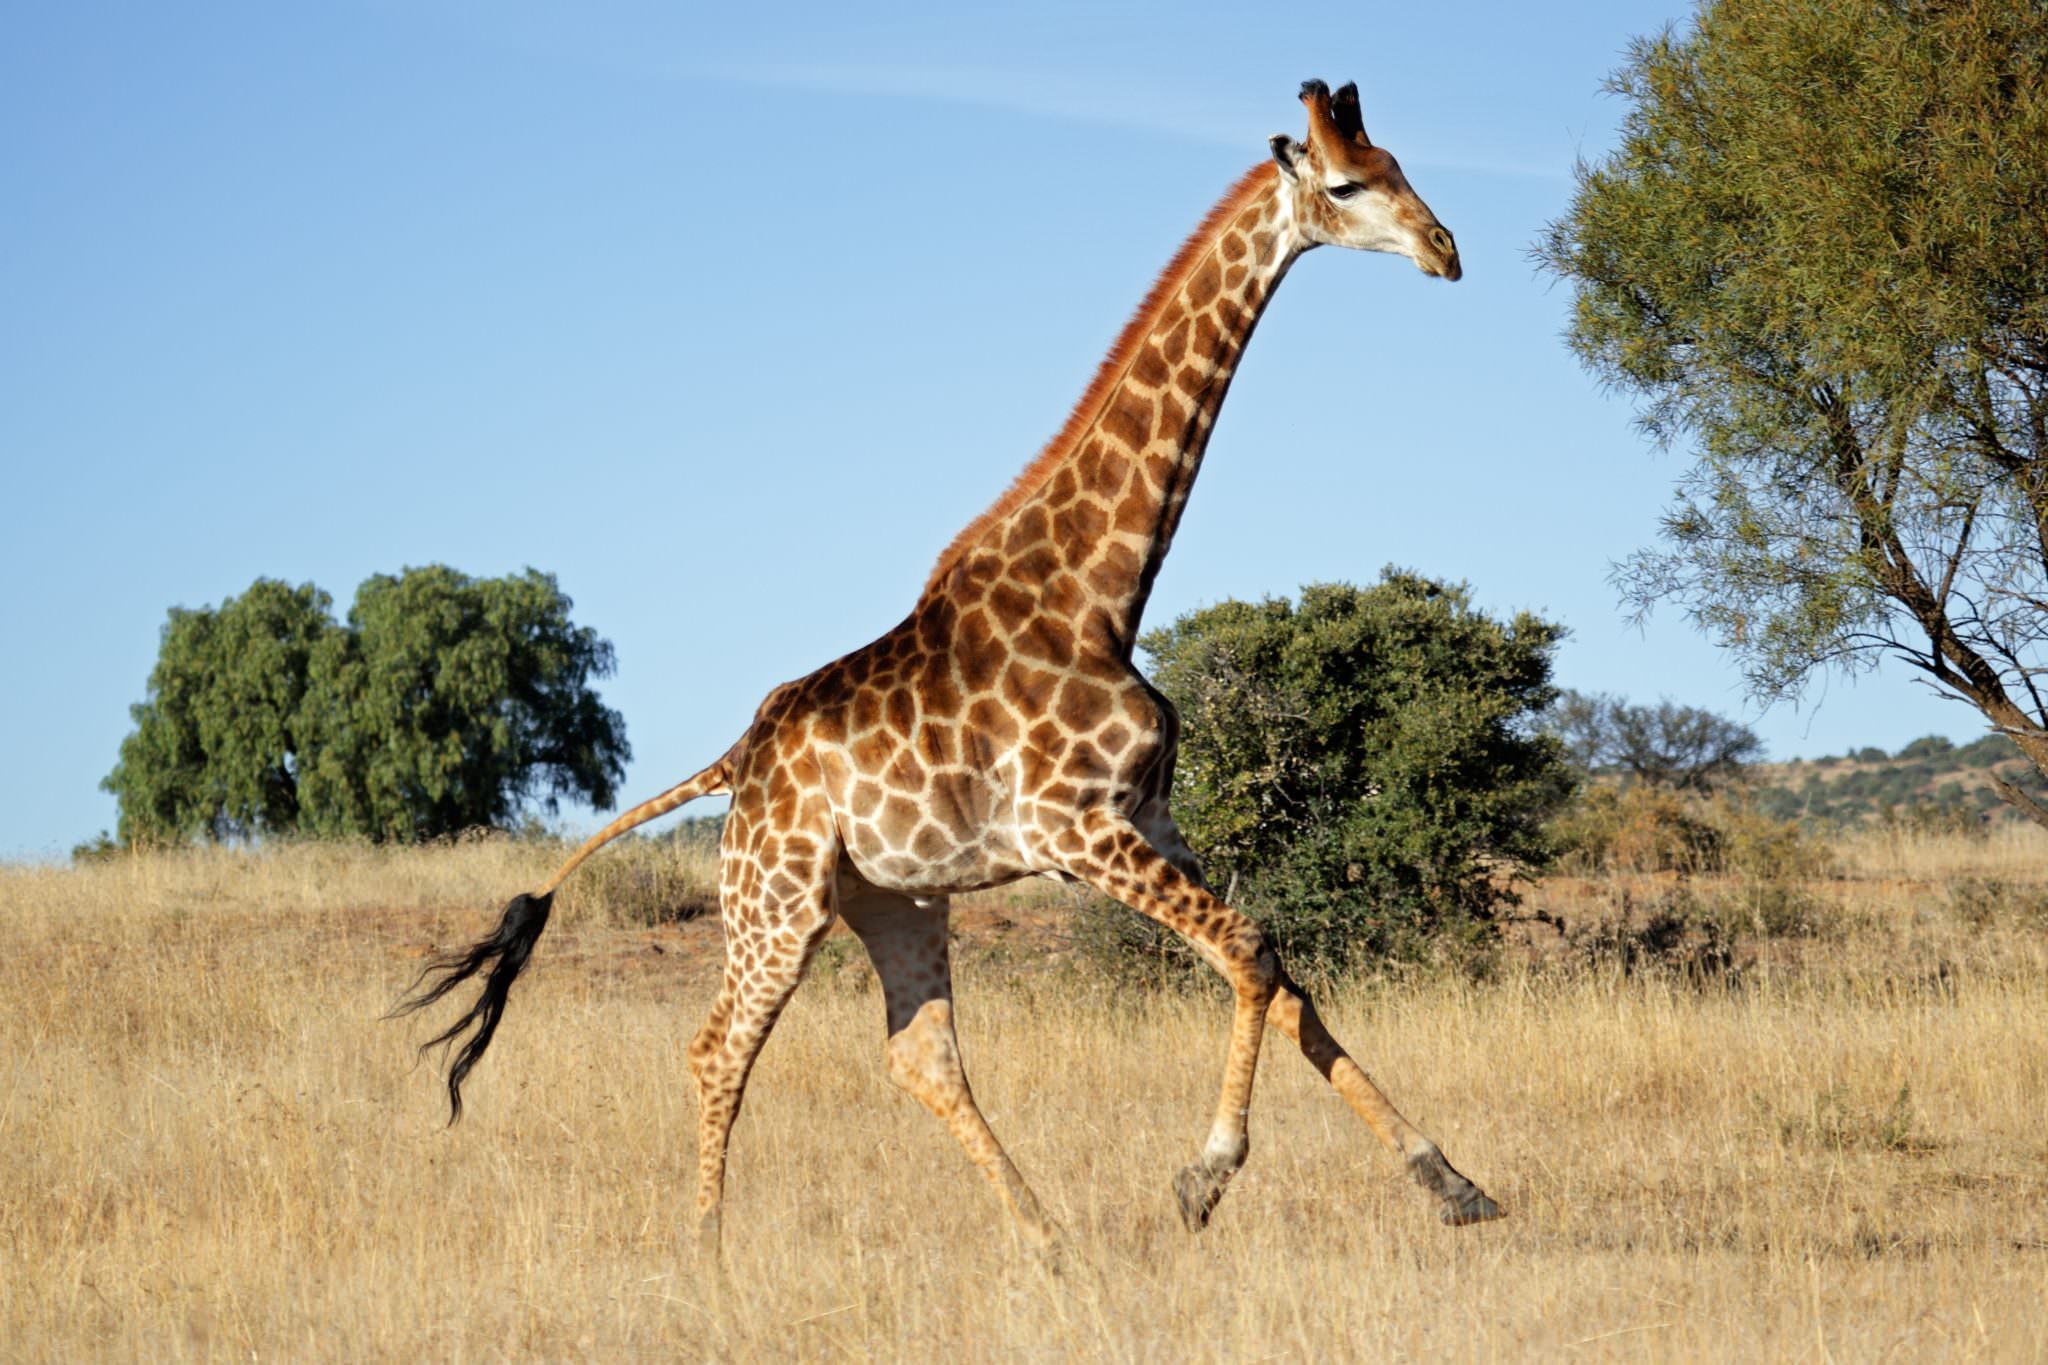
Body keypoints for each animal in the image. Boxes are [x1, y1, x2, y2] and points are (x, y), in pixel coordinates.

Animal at [395, 79, 1502, 1252]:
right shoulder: (1076, 830)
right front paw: (1201, 1179)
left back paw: (1047, 1239)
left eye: (1395, 164)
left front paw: (1453, 1183)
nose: (1444, 250)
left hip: (894, 900)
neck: (1101, 593)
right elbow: (1251, 951)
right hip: (775, 900)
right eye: (1346, 184)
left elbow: (1284, 980)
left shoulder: (1149, 820)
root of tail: (736, 759)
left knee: (919, 1055)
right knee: (718, 1046)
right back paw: (710, 1255)